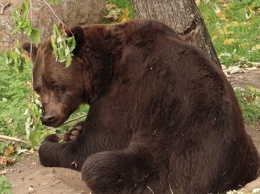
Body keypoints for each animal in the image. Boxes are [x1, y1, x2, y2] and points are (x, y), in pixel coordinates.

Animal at [22, 18, 260, 194]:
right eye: (38, 88)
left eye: (56, 85)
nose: (48, 117)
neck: (102, 68)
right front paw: (73, 131)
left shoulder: (125, 90)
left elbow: (94, 145)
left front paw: (52, 141)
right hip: (246, 152)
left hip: (171, 159)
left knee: (99, 166)